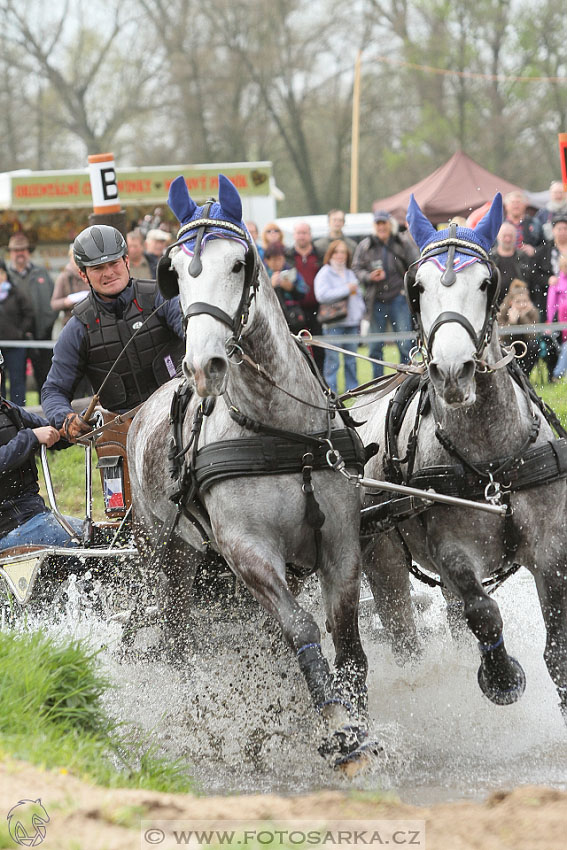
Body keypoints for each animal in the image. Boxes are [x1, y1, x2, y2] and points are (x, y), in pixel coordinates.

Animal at [127, 176, 380, 772]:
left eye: (239, 263)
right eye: (175, 270)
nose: (203, 366)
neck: (278, 430)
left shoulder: (340, 538)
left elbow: (347, 639)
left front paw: (360, 724)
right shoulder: (248, 551)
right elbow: (301, 629)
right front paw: (339, 729)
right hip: (166, 556)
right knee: (176, 635)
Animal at [358, 194, 567, 716]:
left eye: (486, 283)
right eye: (418, 287)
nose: (452, 371)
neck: (493, 463)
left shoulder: (552, 548)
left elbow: (557, 651)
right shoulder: (453, 551)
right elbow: (484, 611)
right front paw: (501, 676)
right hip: (382, 562)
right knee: (407, 633)